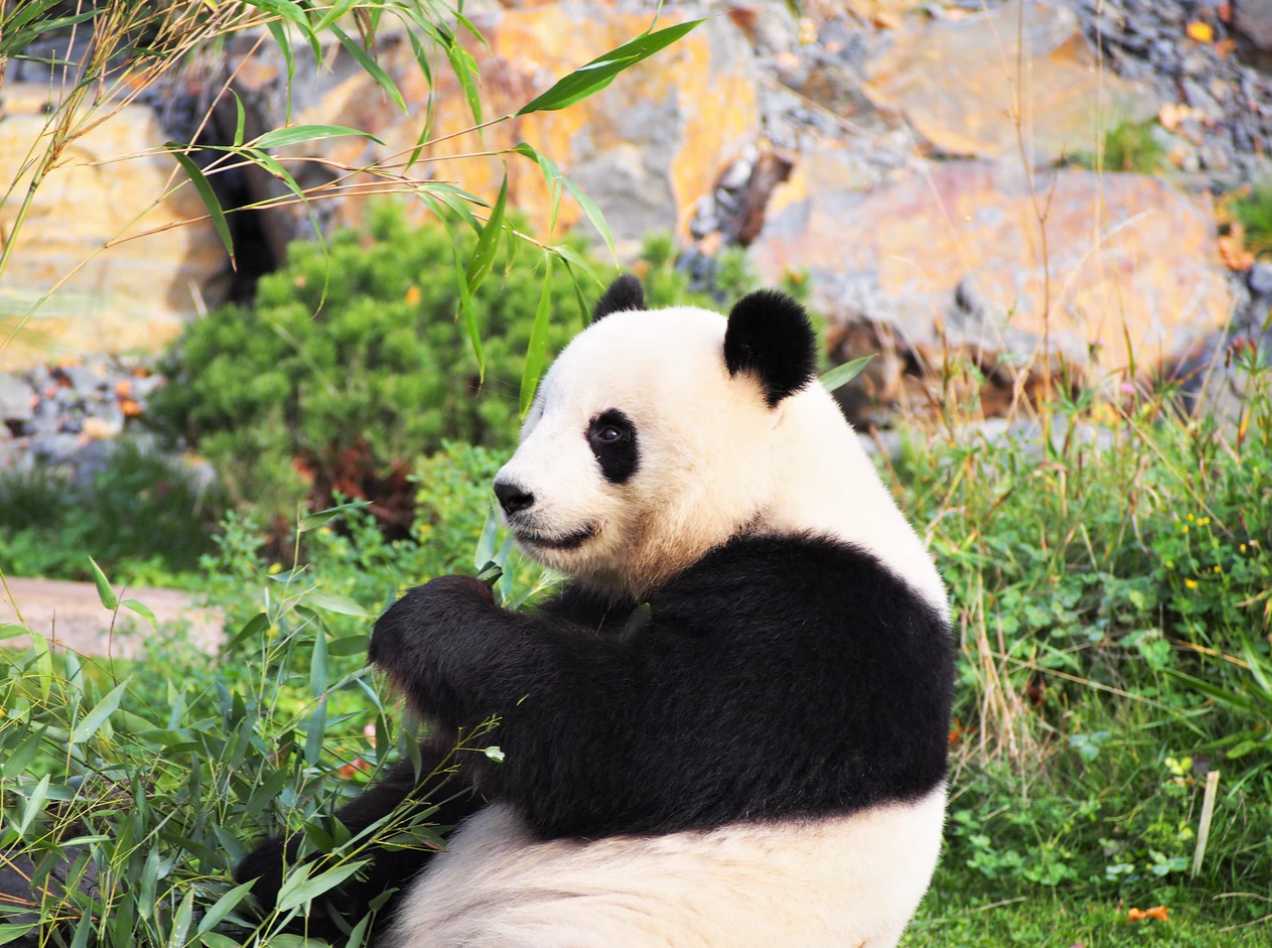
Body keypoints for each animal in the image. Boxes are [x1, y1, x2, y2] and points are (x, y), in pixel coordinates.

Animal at [240, 273, 956, 946]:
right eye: (540, 409)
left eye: (610, 431)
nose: (512, 493)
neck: (769, 496)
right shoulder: (602, 603)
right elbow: (433, 790)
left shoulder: (825, 624)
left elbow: (626, 733)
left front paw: (430, 614)